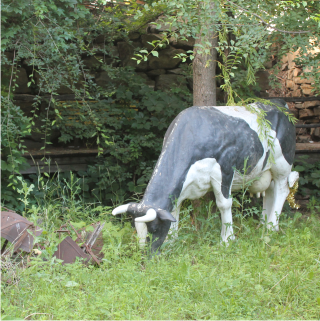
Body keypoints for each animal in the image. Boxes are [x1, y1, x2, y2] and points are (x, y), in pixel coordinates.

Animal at [112, 99, 298, 254]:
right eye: (136, 229)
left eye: (154, 229)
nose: (144, 257)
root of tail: (279, 103)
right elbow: (175, 209)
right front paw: (172, 241)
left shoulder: (225, 168)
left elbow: (224, 204)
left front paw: (227, 240)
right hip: (267, 170)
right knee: (270, 192)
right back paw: (264, 225)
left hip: (283, 163)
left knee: (281, 190)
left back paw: (272, 228)